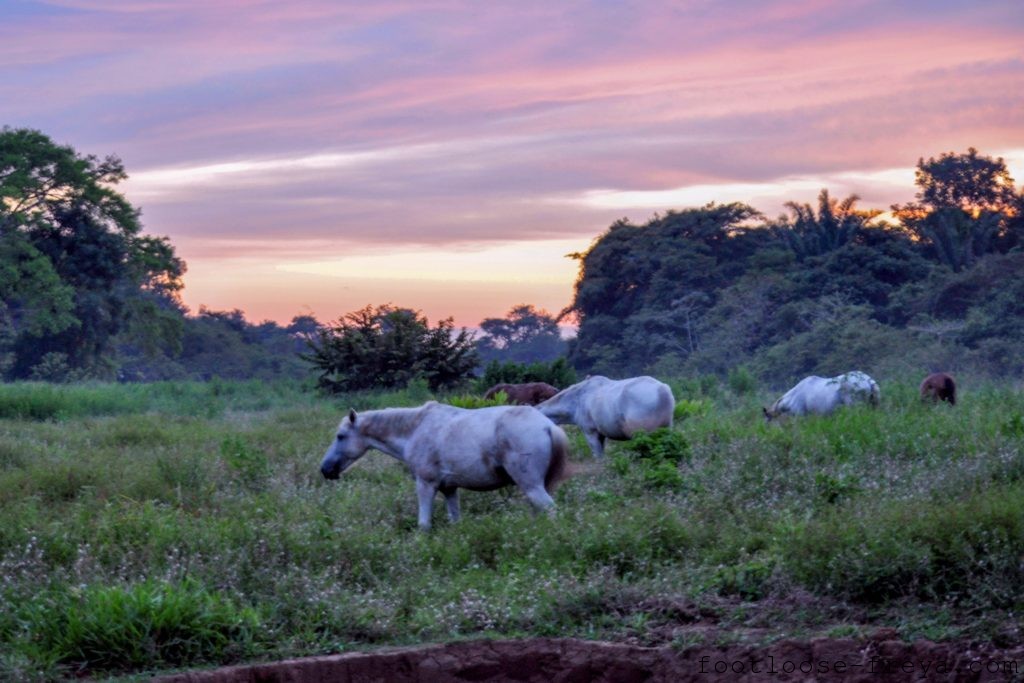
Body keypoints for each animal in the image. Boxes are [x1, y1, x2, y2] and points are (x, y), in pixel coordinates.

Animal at [317, 403, 569, 532]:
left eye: (340, 436)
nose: (325, 469)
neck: (415, 429)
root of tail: (547, 426)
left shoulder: (426, 484)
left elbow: (424, 524)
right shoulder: (449, 488)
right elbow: (455, 520)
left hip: (532, 486)